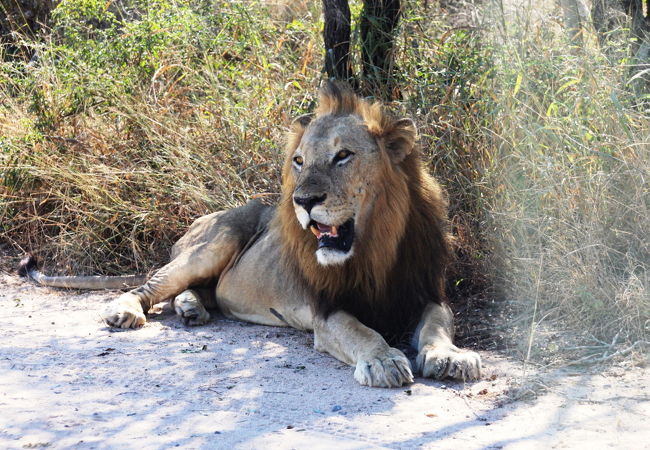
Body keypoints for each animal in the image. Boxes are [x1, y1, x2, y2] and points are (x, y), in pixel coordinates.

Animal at [22, 82, 478, 384]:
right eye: (298, 161)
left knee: (198, 291)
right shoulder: (326, 310)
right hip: (216, 242)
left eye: (343, 155)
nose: (302, 201)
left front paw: (451, 357)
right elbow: (362, 331)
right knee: (150, 286)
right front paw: (384, 361)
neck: (374, 247)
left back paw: (191, 308)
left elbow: (438, 323)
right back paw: (127, 311)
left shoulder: (426, 291)